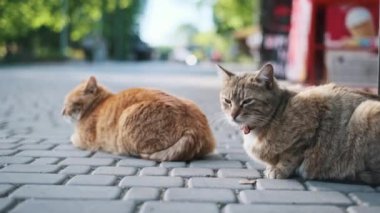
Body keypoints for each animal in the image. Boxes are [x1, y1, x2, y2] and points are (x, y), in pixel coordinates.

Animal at [62, 75, 217, 161]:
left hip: (126, 121)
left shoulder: (84, 140)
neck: (97, 104)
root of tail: (194, 126)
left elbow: (73, 138)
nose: (62, 112)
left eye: (68, 103)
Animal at [217, 63, 380, 185]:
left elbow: (291, 156)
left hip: (365, 111)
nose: (232, 115)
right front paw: (272, 166)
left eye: (247, 101)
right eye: (227, 101)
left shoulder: (312, 122)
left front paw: (279, 169)